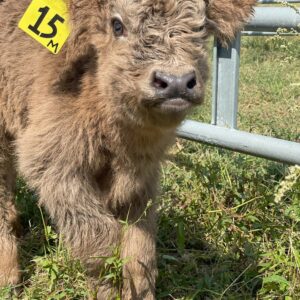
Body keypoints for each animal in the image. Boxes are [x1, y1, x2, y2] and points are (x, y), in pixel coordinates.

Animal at [0, 0, 255, 298]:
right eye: (117, 25)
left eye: (201, 27)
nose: (176, 81)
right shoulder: (52, 165)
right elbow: (100, 241)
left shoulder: (143, 178)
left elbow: (140, 252)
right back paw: (8, 279)